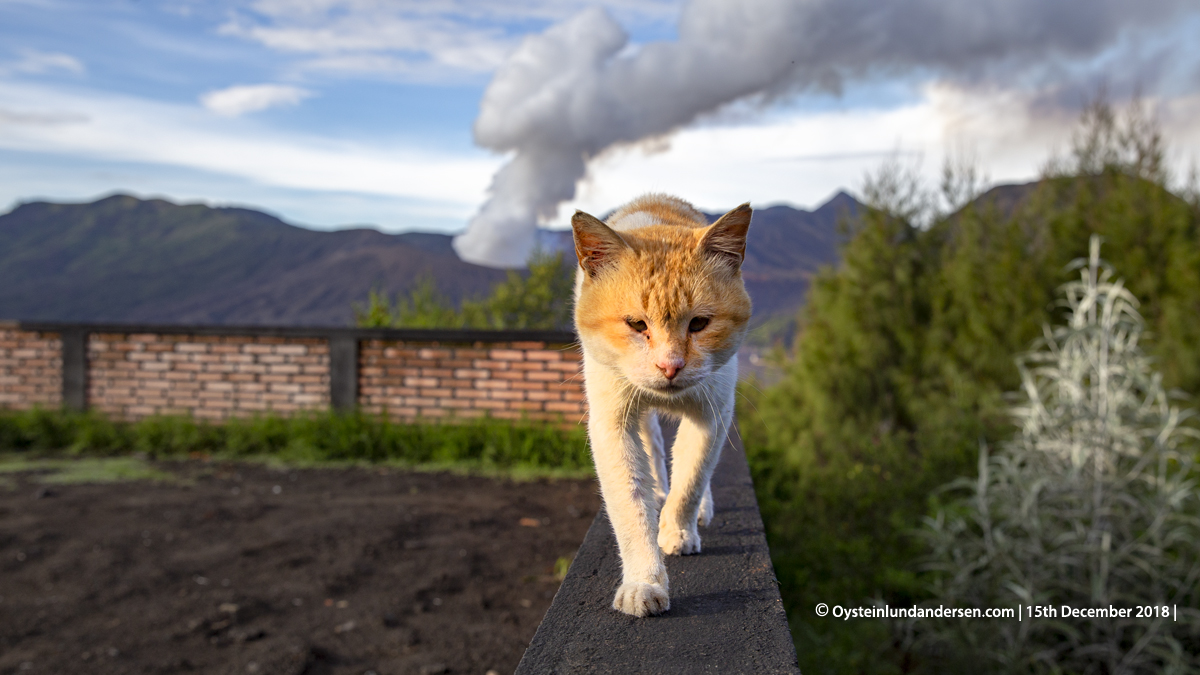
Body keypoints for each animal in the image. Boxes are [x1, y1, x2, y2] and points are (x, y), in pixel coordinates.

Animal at [571, 193, 748, 614]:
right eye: (637, 325)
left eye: (699, 324)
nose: (670, 366)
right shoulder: (611, 424)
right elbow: (630, 507)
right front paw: (644, 582)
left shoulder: (713, 413)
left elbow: (691, 480)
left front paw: (678, 531)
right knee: (652, 447)